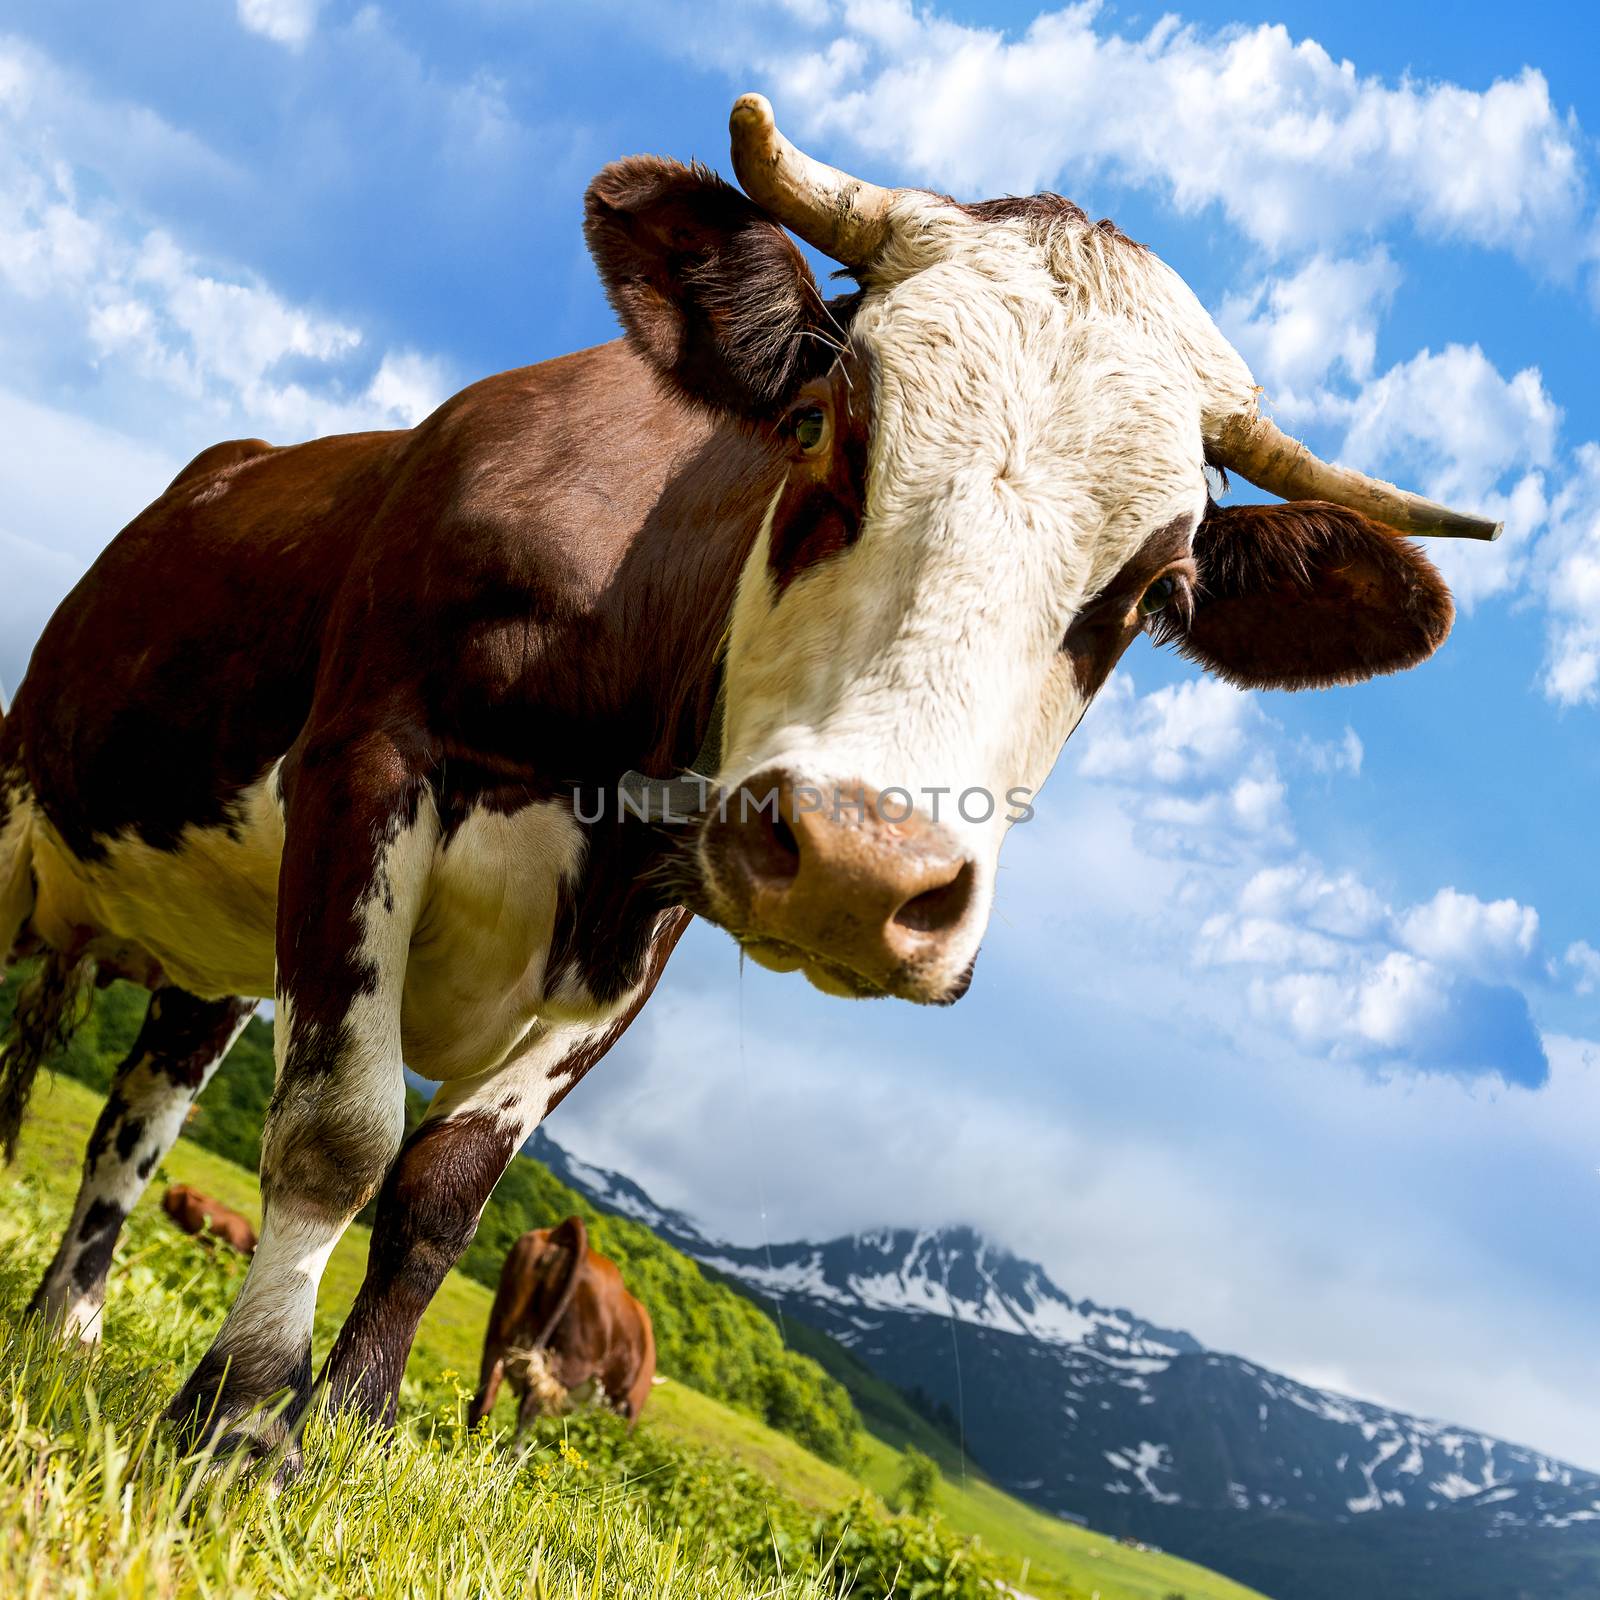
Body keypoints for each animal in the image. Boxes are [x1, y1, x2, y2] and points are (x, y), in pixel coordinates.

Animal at [467, 1209, 656, 1440]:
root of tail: (560, 1233)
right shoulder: (631, 1407)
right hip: (572, 1359)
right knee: (531, 1405)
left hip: (499, 1332)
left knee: (484, 1397)